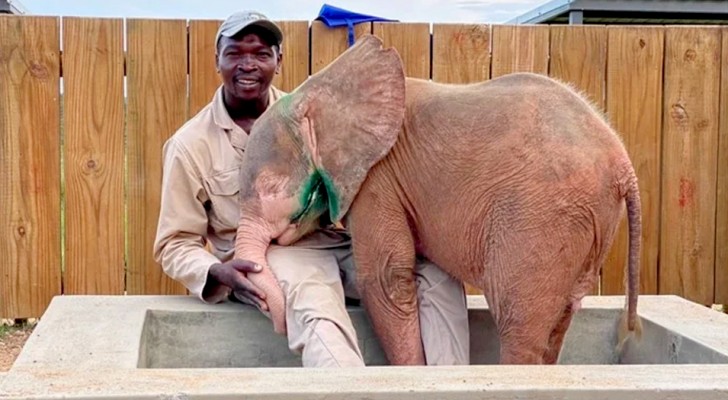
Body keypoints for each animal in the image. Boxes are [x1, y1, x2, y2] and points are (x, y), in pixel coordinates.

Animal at [233, 34, 644, 366]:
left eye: (269, 188)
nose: (272, 315)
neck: (318, 93)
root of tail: (624, 164)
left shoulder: (377, 178)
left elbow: (385, 278)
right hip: (586, 222)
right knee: (561, 317)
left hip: (543, 218)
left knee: (518, 320)